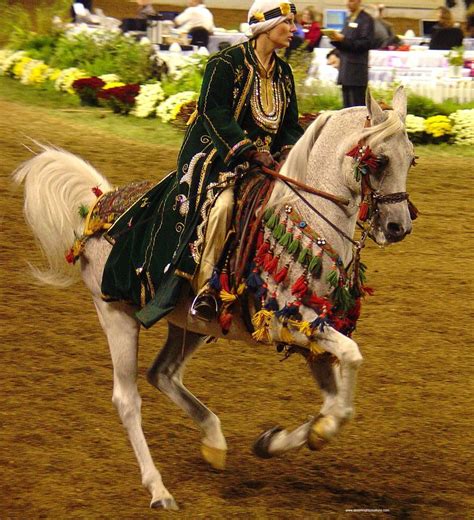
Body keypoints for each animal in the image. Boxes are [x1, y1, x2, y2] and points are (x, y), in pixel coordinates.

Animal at [12, 87, 414, 510]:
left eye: (411, 157)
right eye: (380, 159)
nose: (398, 227)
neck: (309, 220)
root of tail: (99, 206)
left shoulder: (314, 332)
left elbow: (340, 404)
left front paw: (281, 440)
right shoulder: (287, 322)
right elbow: (352, 356)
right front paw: (306, 434)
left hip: (189, 324)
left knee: (163, 374)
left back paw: (214, 441)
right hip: (116, 316)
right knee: (128, 399)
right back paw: (159, 490)